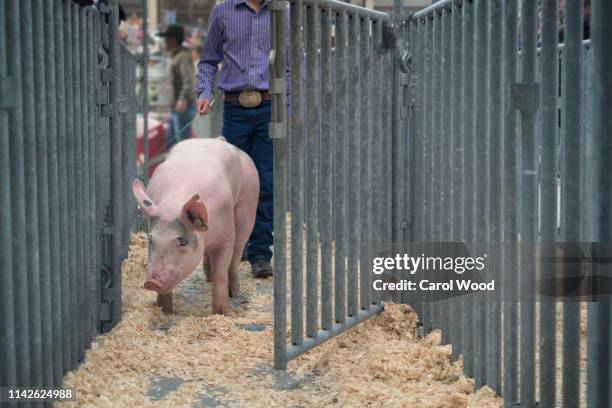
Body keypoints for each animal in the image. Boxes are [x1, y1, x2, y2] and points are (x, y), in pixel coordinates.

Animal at [131, 139, 258, 314]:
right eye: (150, 240)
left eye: (182, 241)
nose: (151, 282)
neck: (174, 204)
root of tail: (219, 139)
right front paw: (166, 311)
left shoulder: (226, 236)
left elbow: (221, 274)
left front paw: (221, 313)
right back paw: (208, 278)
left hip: (249, 199)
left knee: (238, 249)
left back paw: (234, 291)